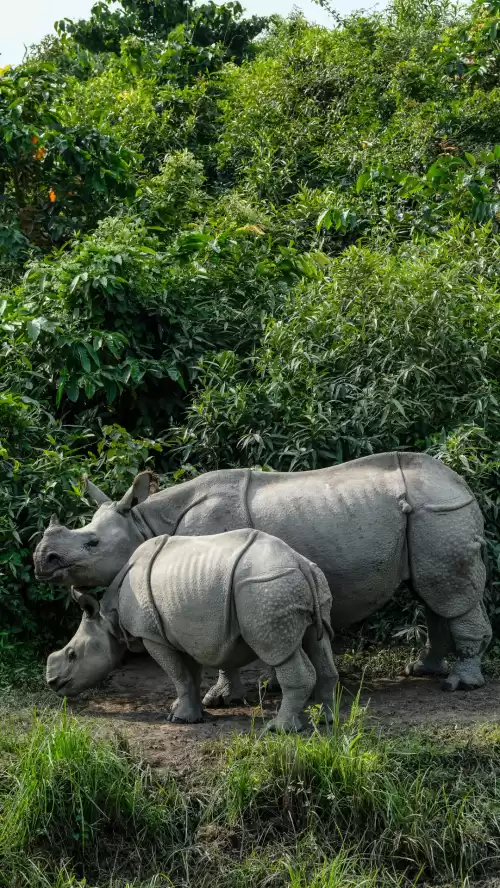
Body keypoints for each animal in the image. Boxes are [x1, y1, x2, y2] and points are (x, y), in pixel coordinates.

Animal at [35, 451, 492, 701]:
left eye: (91, 543)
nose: (42, 558)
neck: (144, 524)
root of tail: (461, 482)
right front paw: (269, 687)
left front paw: (220, 699)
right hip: (429, 516)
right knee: (429, 594)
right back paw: (424, 670)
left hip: (439, 512)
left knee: (447, 592)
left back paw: (460, 684)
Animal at [45, 529, 337, 732]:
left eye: (72, 655)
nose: (52, 684)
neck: (109, 617)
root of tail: (299, 562)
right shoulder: (180, 630)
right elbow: (189, 675)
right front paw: (187, 711)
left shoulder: (153, 636)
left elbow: (178, 674)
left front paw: (180, 718)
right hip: (302, 583)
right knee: (319, 643)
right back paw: (324, 719)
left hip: (266, 587)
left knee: (278, 650)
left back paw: (280, 729)